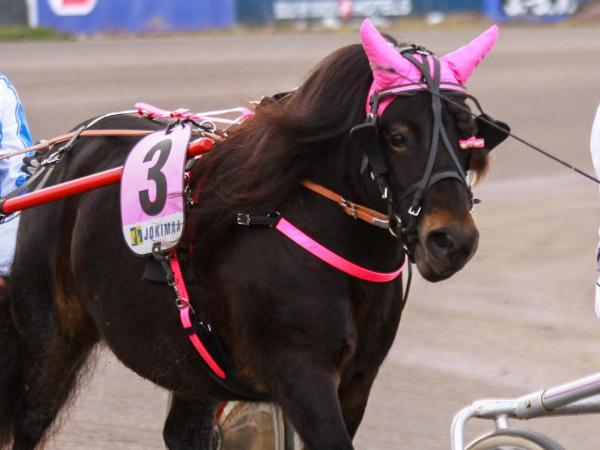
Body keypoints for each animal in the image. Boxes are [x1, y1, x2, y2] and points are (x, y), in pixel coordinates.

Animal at [0, 20, 508, 450]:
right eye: (399, 135)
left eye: (468, 136)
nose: (452, 240)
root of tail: (59, 156)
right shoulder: (300, 372)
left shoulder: (357, 382)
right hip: (50, 340)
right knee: (30, 418)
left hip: (192, 363)